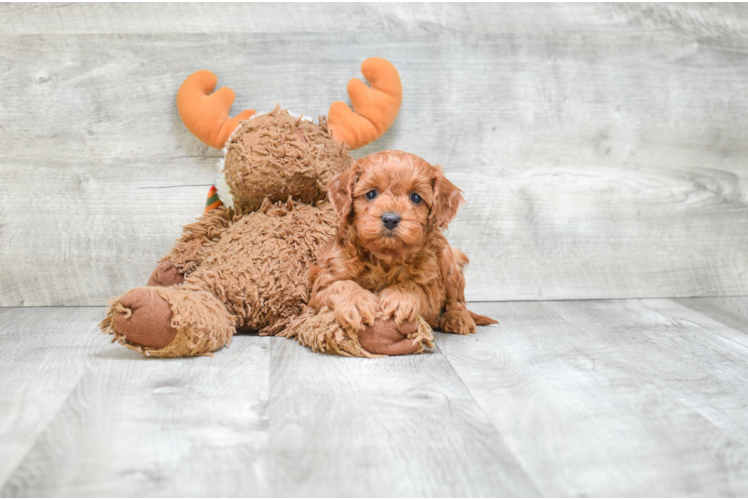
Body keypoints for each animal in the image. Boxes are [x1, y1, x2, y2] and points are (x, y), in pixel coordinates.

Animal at [310, 149, 496, 352]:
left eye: (415, 197)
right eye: (371, 194)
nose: (390, 219)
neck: (385, 255)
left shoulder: (431, 286)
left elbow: (414, 285)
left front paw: (399, 298)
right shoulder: (325, 279)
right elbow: (341, 285)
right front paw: (357, 303)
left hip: (450, 260)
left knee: (456, 300)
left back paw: (457, 318)